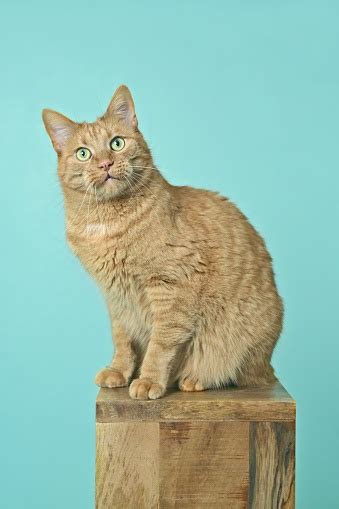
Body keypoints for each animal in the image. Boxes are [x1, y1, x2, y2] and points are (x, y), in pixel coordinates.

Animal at [42, 85, 284, 398]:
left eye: (117, 143)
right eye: (83, 153)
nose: (105, 163)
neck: (106, 223)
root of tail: (269, 364)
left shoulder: (170, 286)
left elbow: (161, 344)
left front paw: (148, 380)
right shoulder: (116, 297)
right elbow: (123, 339)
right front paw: (120, 370)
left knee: (236, 372)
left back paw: (196, 378)